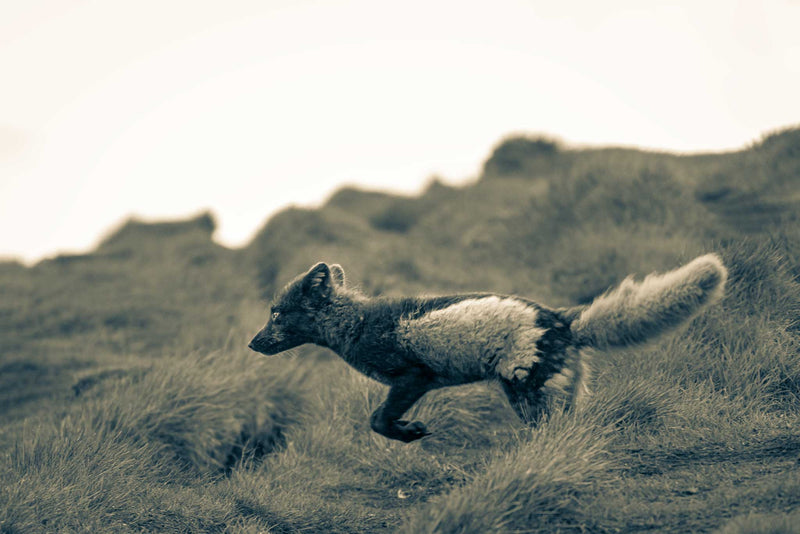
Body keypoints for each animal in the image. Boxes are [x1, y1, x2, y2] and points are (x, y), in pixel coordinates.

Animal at [249, 254, 727, 442]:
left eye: (276, 313)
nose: (252, 344)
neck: (357, 323)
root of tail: (561, 318)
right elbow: (378, 420)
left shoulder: (413, 378)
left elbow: (378, 420)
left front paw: (410, 432)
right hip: (551, 396)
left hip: (527, 392)